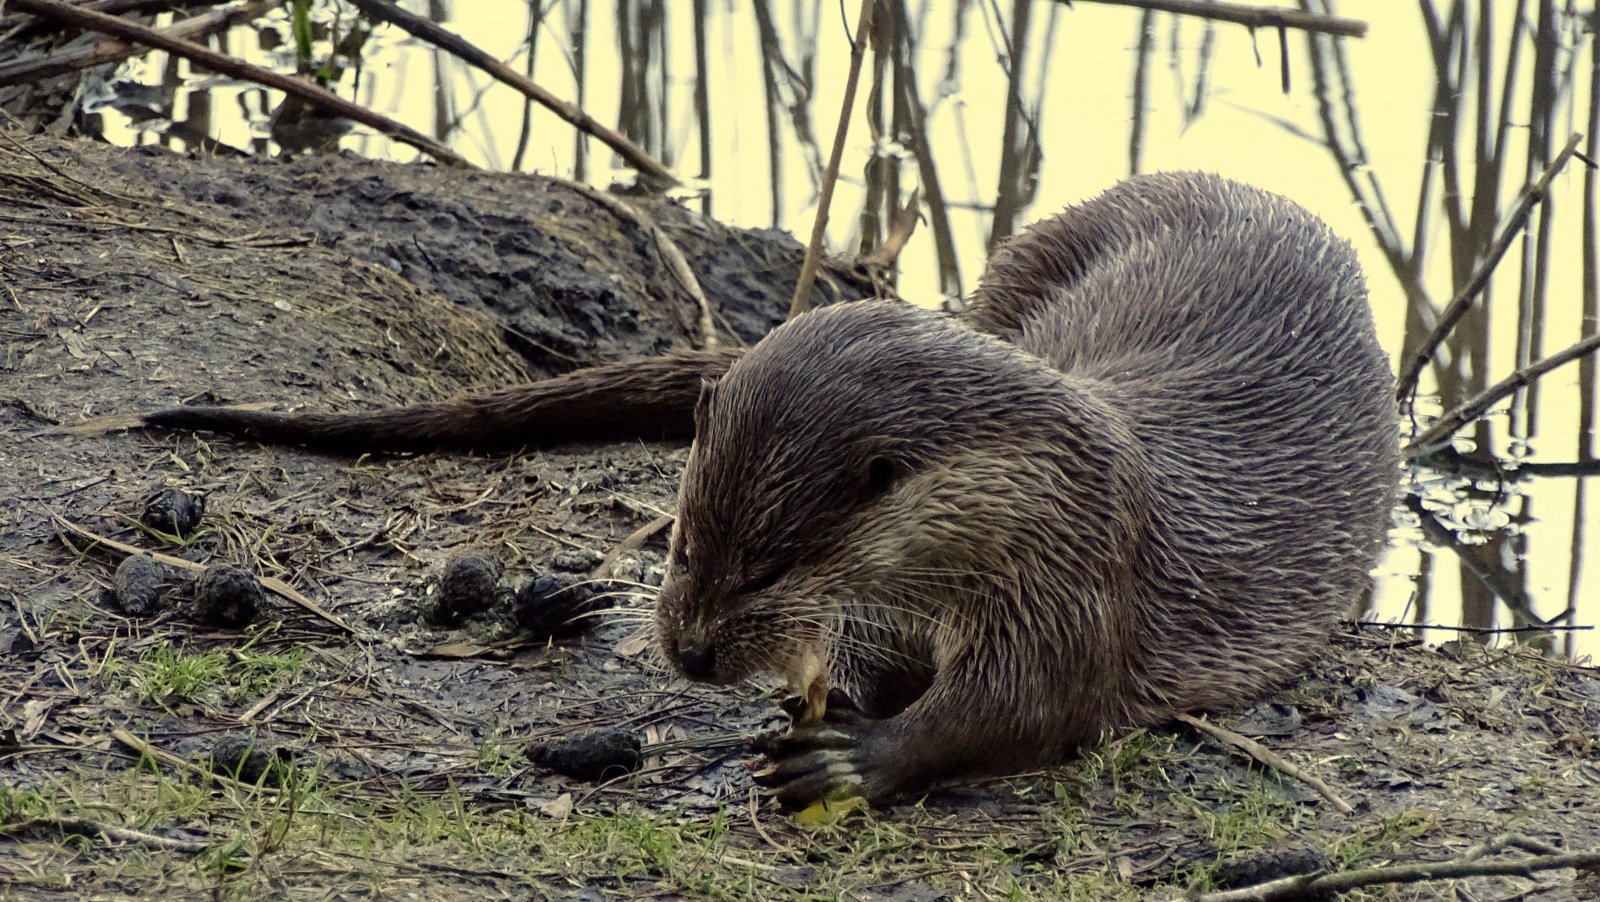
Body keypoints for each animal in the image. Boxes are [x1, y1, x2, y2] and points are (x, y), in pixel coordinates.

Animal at [116, 172, 1401, 806]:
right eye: (683, 539)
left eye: (768, 563)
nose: (687, 653)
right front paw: (815, 705)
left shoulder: (1077, 567)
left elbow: (1029, 707)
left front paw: (854, 759)